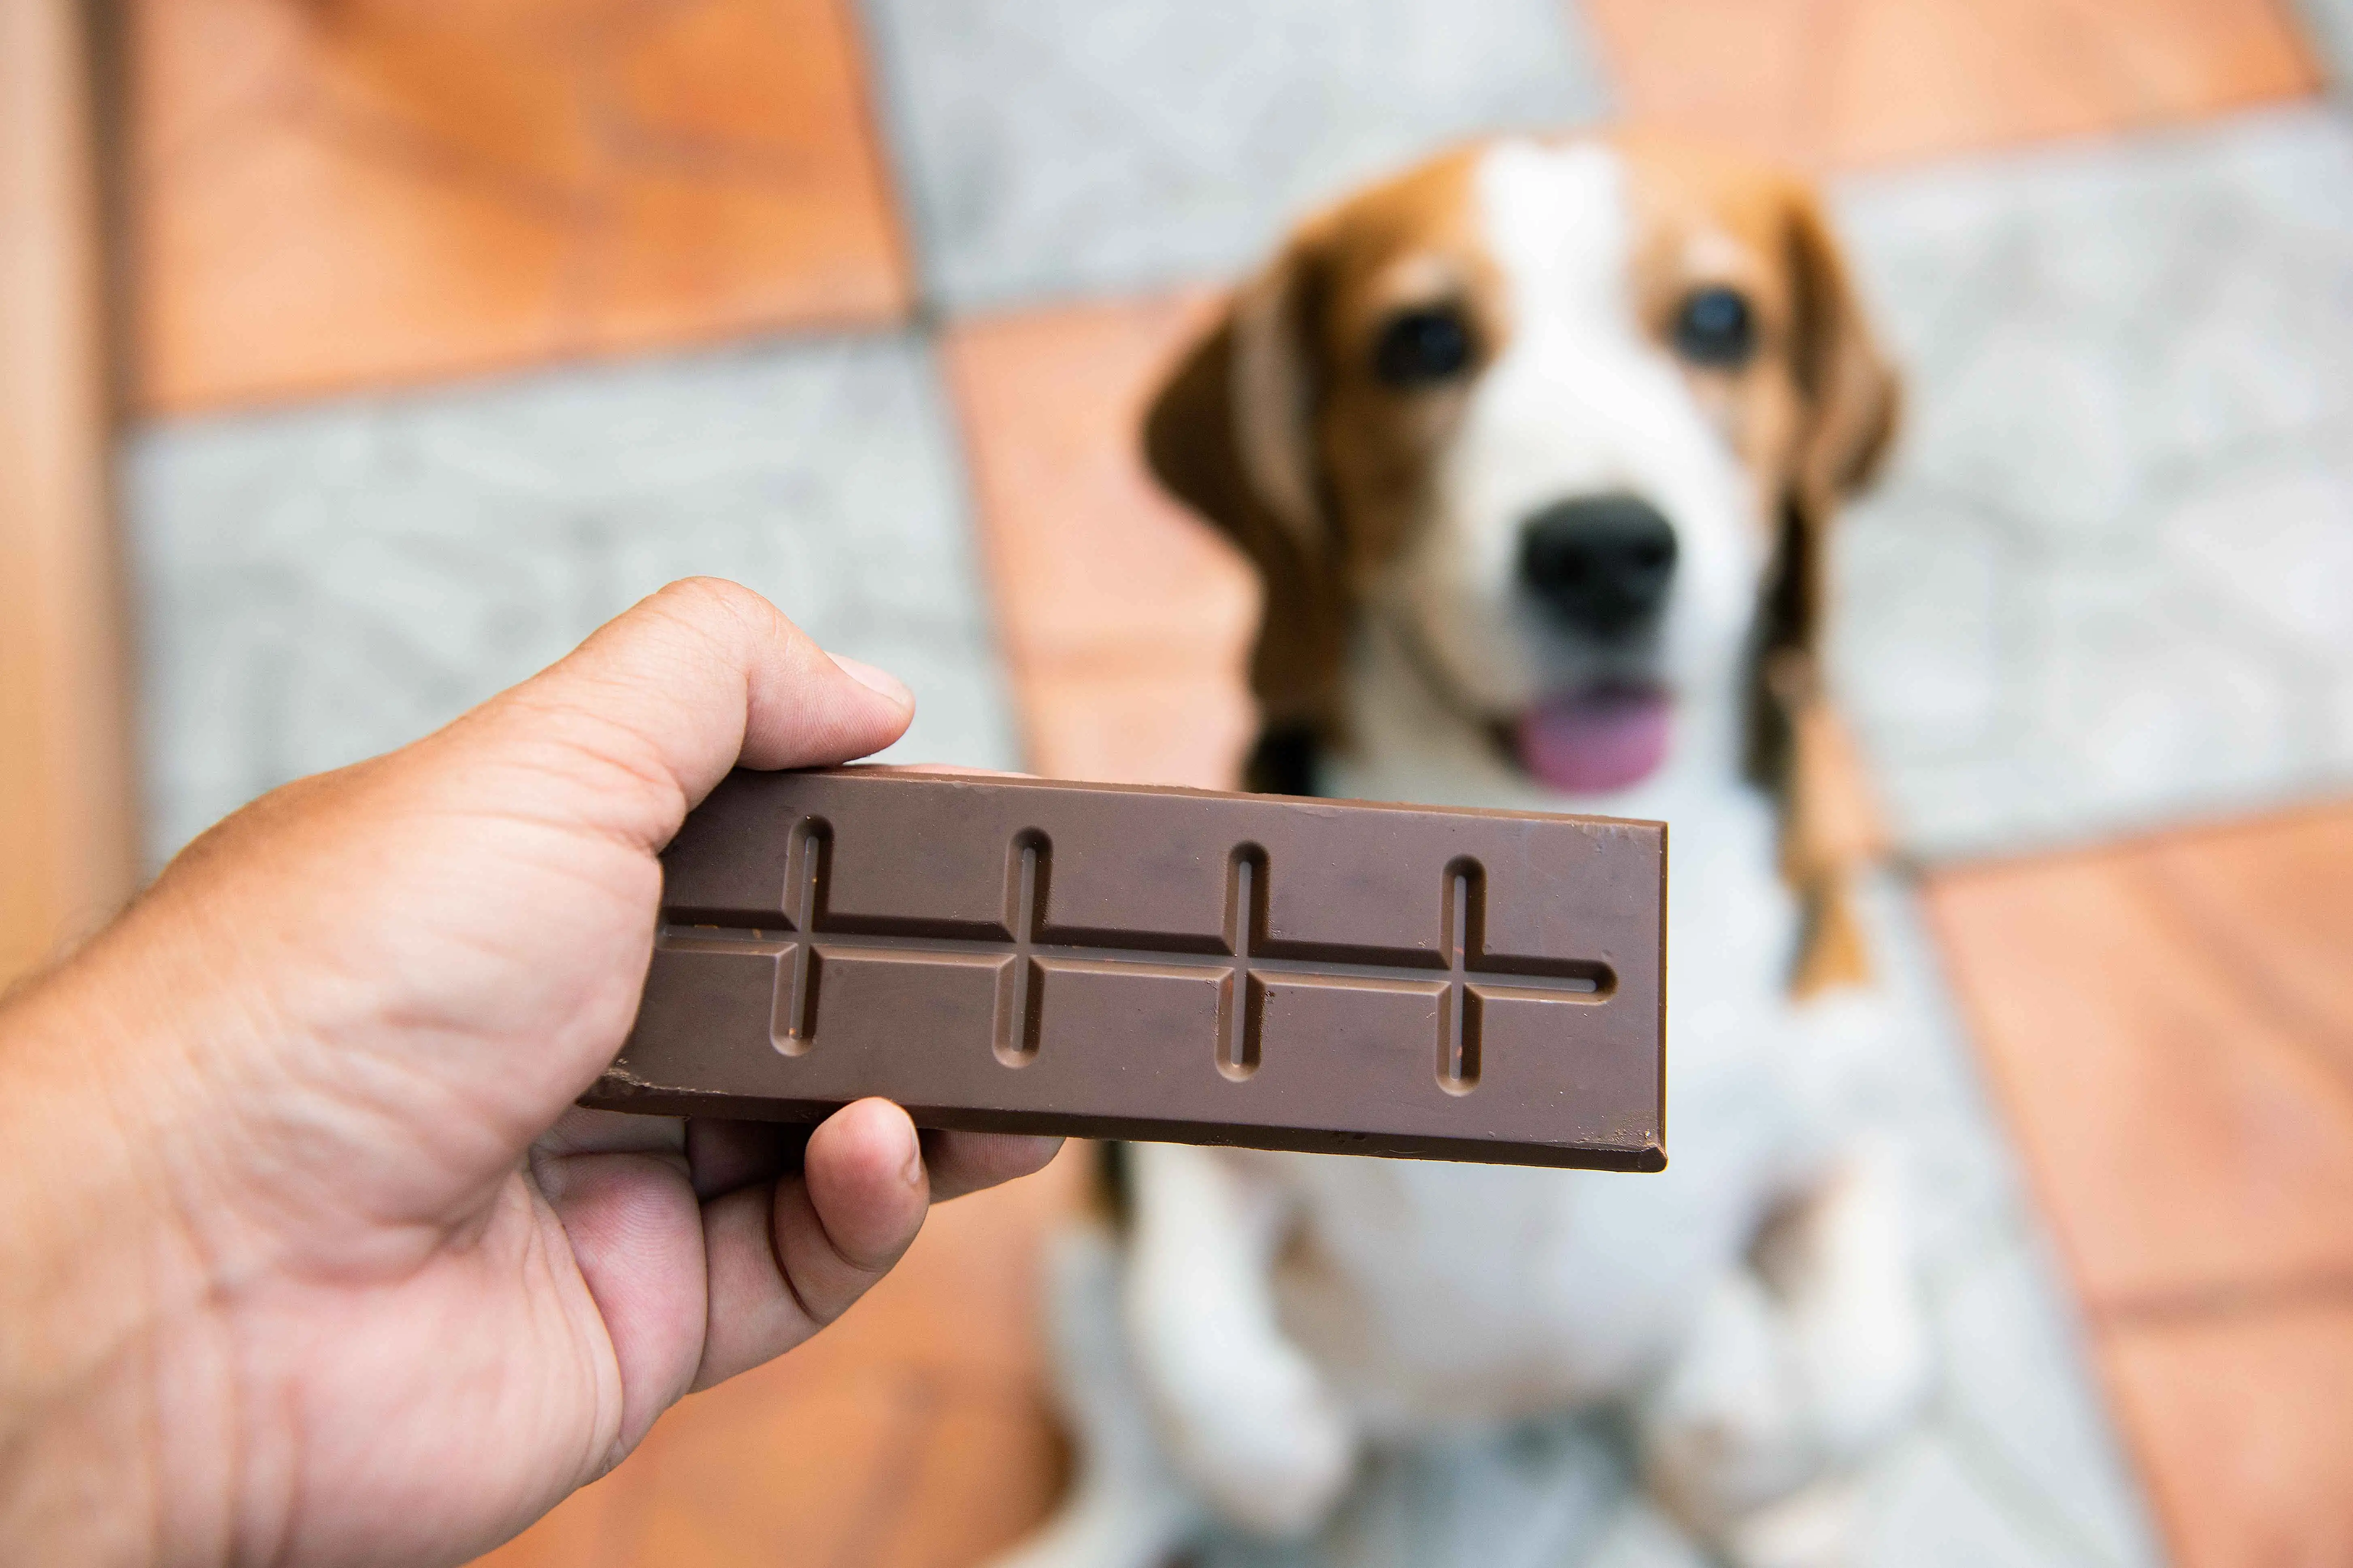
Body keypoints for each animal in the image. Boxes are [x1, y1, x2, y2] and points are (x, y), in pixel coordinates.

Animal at [993, 132, 1929, 1568]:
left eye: (1719, 320)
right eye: (1420, 342)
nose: (1600, 548)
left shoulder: (1835, 1131)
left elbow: (1867, 1370)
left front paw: (1745, 1457)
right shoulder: (1176, 1147)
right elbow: (1194, 1347)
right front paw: (1278, 1457)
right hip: (1074, 1276)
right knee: (1137, 1460)